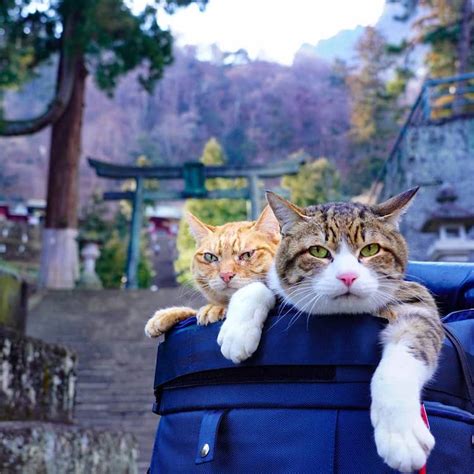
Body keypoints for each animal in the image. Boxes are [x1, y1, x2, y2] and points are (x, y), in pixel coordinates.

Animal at [143, 206, 280, 336]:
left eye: (247, 255)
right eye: (210, 257)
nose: (226, 275)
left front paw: (214, 309)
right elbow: (193, 311)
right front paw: (165, 315)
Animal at [218, 187, 444, 472]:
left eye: (371, 249)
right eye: (317, 251)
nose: (348, 277)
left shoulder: (417, 300)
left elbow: (407, 350)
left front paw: (400, 434)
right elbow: (259, 284)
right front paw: (237, 332)